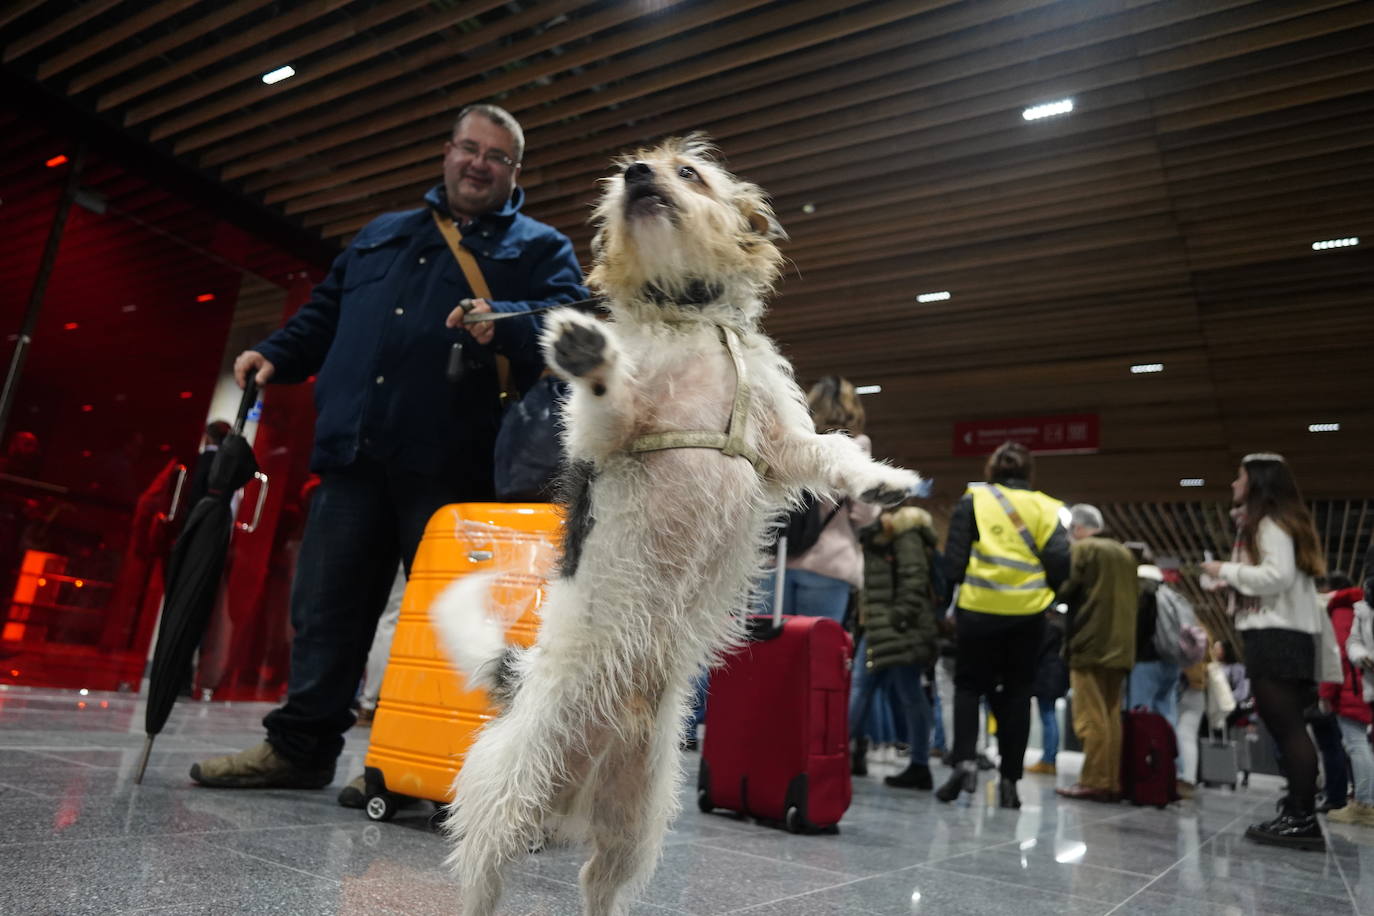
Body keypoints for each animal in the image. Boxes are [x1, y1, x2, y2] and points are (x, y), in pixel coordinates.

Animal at [428, 132, 923, 911]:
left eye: (687, 172)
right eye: (627, 174)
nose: (635, 174)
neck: (692, 319)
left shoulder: (782, 444)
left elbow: (833, 451)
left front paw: (884, 480)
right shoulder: (610, 435)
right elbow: (609, 395)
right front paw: (588, 353)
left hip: (635, 815)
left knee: (596, 884)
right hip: (513, 785)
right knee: (484, 871)